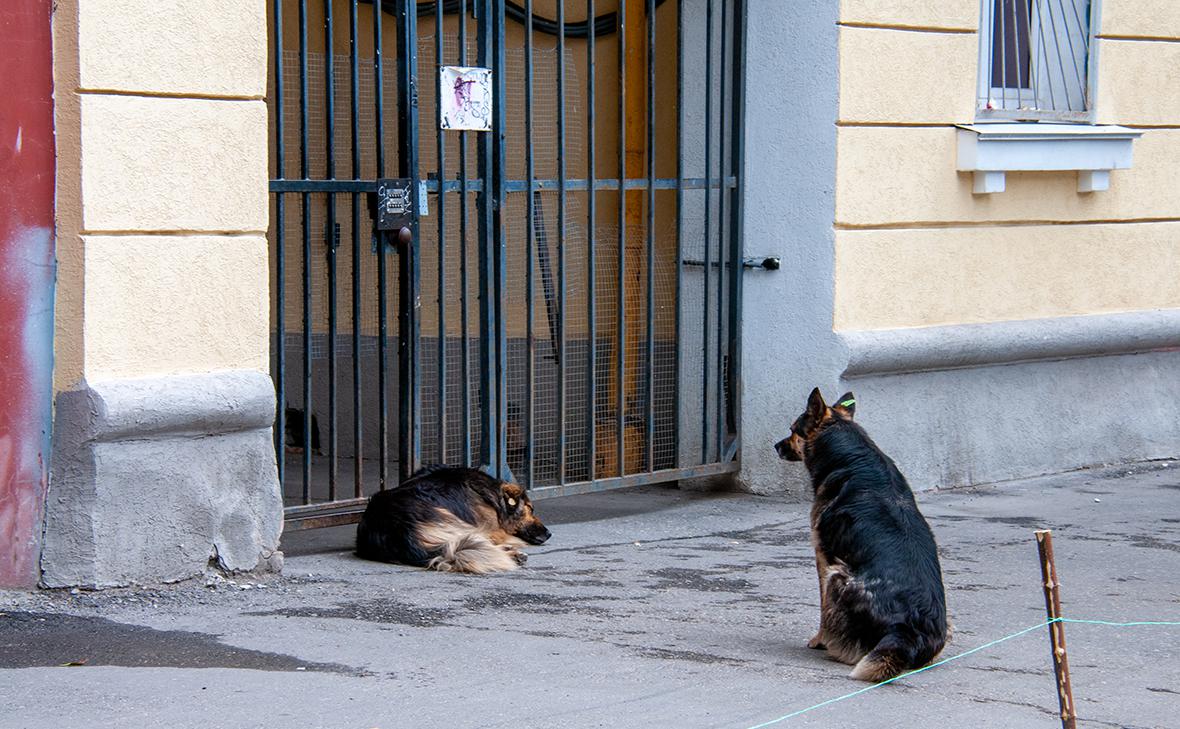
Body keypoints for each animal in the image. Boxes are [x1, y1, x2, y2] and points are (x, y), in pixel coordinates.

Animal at [774, 389, 948, 679]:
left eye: (793, 430)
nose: (776, 446)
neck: (850, 453)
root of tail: (908, 630)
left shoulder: (823, 557)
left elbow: (822, 606)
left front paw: (818, 640)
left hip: (838, 577)